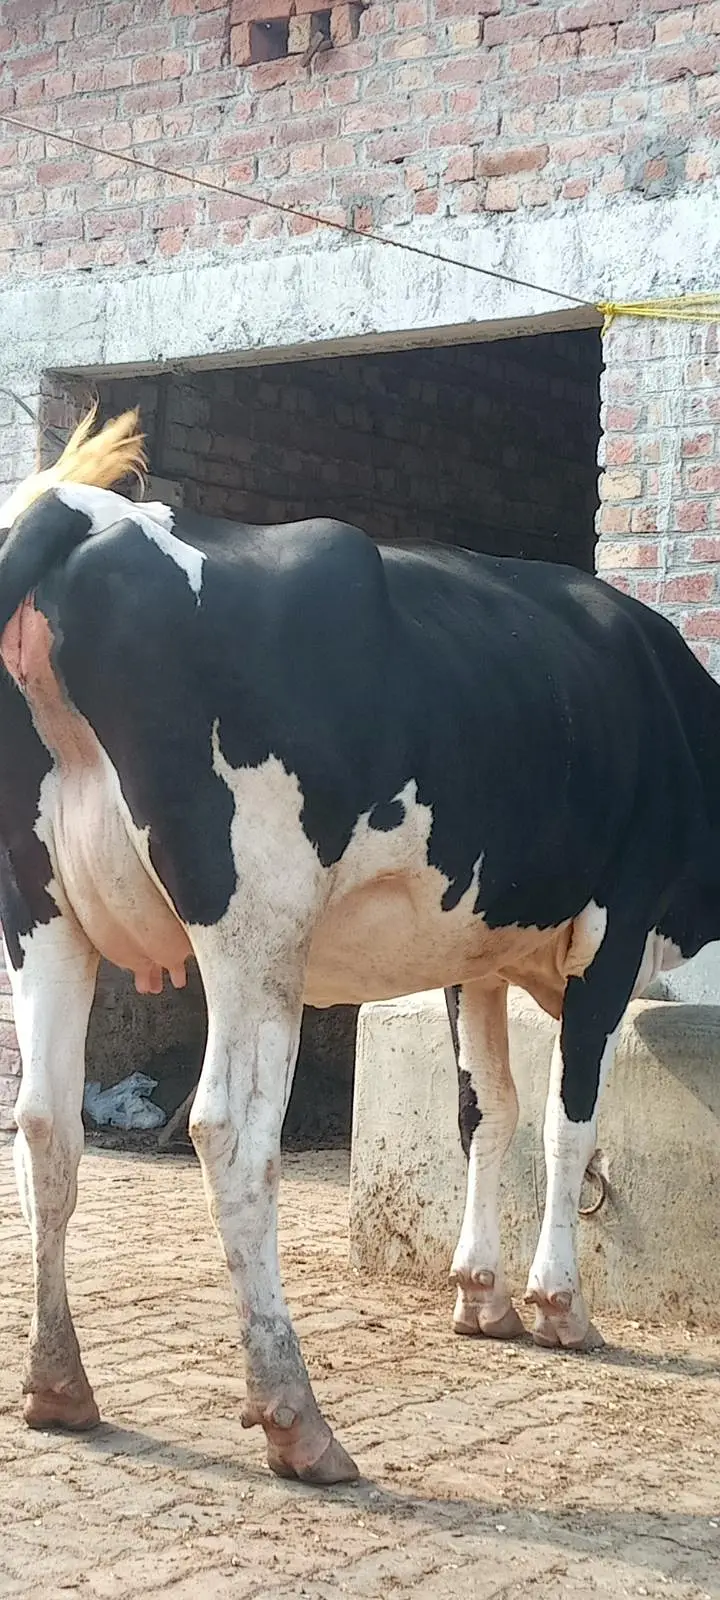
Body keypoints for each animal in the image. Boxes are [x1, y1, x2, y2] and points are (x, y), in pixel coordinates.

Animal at [0, 406, 717, 1486]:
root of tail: (85, 512)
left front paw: (480, 1294)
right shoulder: (613, 929)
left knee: (46, 1120)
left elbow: (487, 1113)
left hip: (42, 910)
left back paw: (58, 1386)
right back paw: (295, 1416)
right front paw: (559, 1304)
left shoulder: (473, 953)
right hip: (257, 922)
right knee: (229, 1129)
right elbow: (569, 1121)